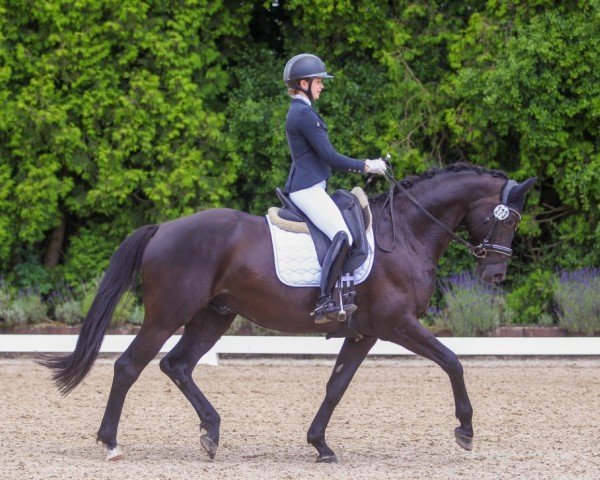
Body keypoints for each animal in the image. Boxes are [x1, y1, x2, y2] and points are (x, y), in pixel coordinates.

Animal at [39, 163, 536, 464]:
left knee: (176, 365)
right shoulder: (398, 325)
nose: (494, 274)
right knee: (129, 365)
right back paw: (110, 442)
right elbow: (453, 361)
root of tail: (163, 228)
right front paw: (465, 429)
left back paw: (211, 433)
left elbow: (336, 386)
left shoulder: (364, 333)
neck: (408, 234)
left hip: (212, 316)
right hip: (167, 316)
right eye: (508, 218)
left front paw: (320, 445)